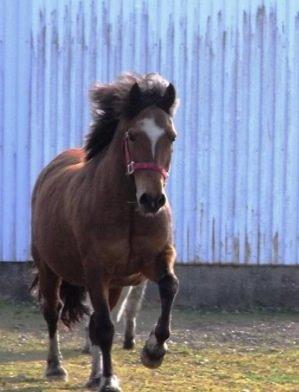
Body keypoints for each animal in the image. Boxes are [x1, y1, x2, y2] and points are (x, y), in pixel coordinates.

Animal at [31, 73, 179, 392]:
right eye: (132, 136)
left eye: (171, 136)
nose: (152, 200)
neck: (129, 212)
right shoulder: (96, 273)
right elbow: (106, 328)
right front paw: (110, 380)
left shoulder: (154, 261)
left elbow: (170, 287)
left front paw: (153, 351)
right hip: (49, 268)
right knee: (53, 311)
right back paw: (56, 366)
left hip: (114, 285)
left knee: (95, 324)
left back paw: (94, 375)